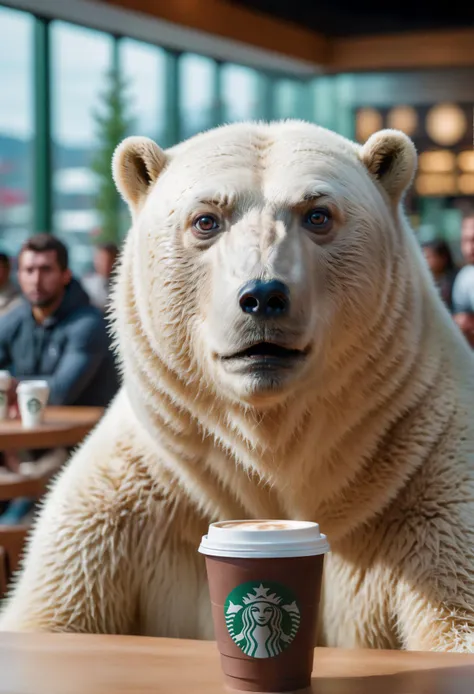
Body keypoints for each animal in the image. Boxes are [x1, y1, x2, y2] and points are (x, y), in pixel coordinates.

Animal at [0, 121, 474, 652]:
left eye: (317, 214)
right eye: (206, 220)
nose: (263, 296)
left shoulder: (430, 485)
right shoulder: (123, 508)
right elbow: (50, 613)